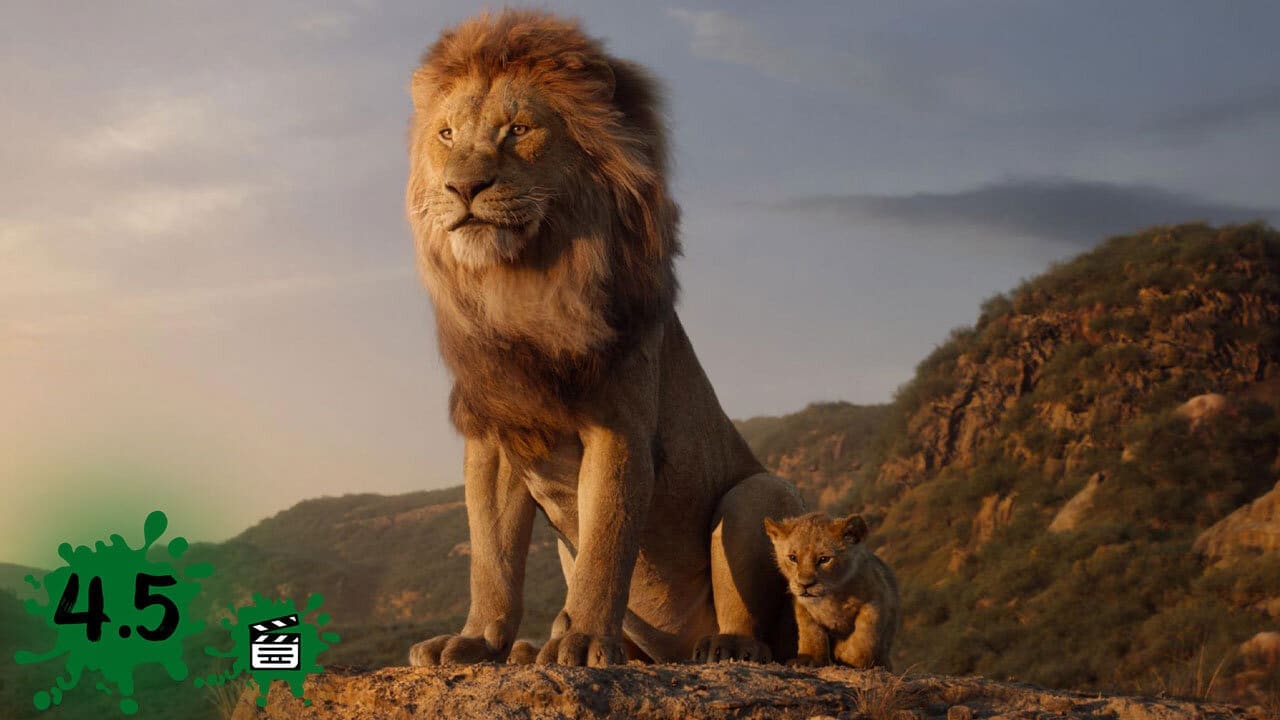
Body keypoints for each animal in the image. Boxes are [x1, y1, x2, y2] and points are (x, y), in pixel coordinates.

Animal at [403, 9, 805, 667]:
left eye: (518, 130)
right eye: (445, 135)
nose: (463, 188)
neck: (523, 286)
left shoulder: (619, 427)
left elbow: (606, 545)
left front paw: (585, 640)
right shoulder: (496, 435)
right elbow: (492, 558)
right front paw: (476, 641)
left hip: (758, 494)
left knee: (757, 620)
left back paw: (724, 647)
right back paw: (531, 649)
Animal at [763, 512, 899, 669]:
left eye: (824, 559)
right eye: (793, 558)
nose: (805, 585)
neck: (831, 597)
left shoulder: (876, 600)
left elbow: (865, 636)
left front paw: (847, 655)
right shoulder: (803, 607)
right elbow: (811, 633)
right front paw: (809, 659)